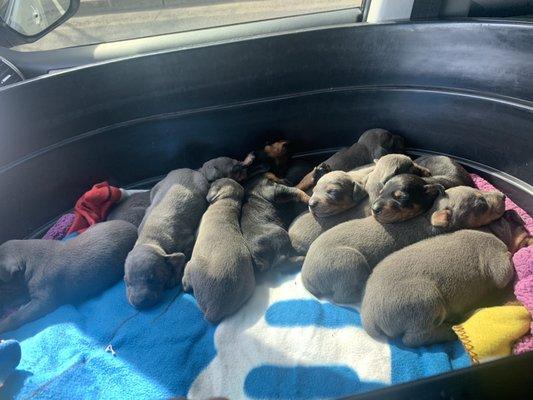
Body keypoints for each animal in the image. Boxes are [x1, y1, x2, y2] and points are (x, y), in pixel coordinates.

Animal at [124, 169, 208, 310]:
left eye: (151, 279)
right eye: (127, 282)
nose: (139, 303)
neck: (149, 239)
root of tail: (187, 169)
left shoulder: (185, 241)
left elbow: (182, 257)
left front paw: (173, 277)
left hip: (202, 185)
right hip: (157, 187)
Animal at [302, 187, 504, 304]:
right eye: (480, 206)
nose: (502, 196)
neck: (428, 217)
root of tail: (306, 276)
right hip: (350, 262)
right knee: (341, 297)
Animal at [362, 209, 532, 346]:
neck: (492, 230)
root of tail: (368, 316)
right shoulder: (497, 258)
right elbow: (506, 265)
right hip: (426, 299)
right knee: (413, 338)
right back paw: (450, 330)